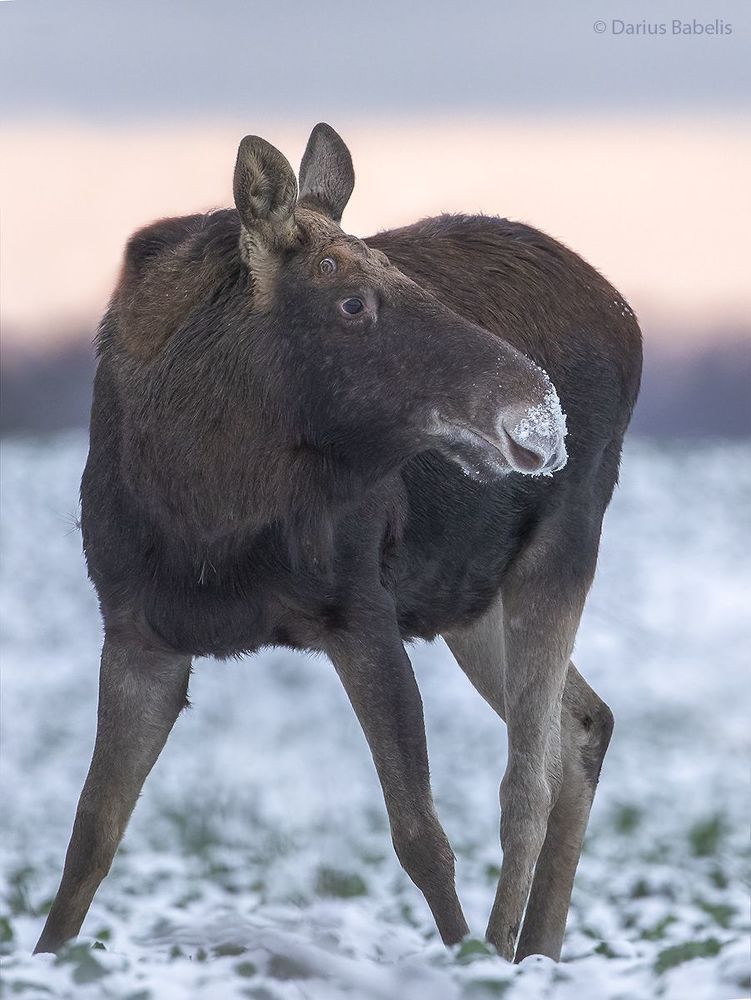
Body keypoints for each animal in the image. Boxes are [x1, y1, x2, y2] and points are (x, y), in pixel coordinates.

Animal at [34, 123, 642, 961]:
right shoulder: (135, 630)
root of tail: (629, 320)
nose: (538, 411)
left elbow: (420, 836)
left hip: (563, 541)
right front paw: (45, 958)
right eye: (351, 301)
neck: (206, 516)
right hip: (467, 598)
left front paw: (459, 959)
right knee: (582, 725)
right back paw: (537, 951)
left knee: (528, 777)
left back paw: (505, 953)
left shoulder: (359, 610)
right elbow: (89, 837)